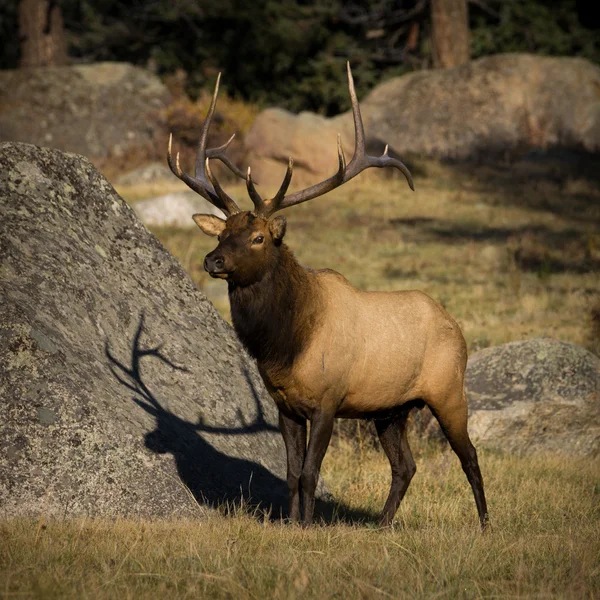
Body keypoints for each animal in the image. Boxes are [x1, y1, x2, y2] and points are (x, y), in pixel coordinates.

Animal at [168, 63, 488, 528]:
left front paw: (306, 526)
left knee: (470, 456)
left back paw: (485, 525)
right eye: (223, 232)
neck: (286, 345)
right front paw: (290, 523)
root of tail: (456, 325)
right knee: (405, 465)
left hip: (448, 389)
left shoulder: (328, 398)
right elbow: (290, 472)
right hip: (392, 409)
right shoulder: (284, 405)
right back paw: (382, 525)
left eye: (259, 237)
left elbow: (310, 472)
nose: (213, 260)